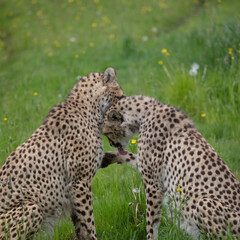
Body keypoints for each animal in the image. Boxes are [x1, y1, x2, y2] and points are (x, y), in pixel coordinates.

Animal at [0, 67, 124, 240]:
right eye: (121, 96)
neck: (89, 109)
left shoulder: (73, 187)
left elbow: (80, 224)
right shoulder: (80, 182)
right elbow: (89, 222)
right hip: (32, 207)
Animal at [101, 95, 240, 240]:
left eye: (107, 132)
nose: (111, 144)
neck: (147, 112)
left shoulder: (153, 185)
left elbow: (152, 222)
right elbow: (132, 157)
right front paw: (108, 157)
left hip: (203, 203)